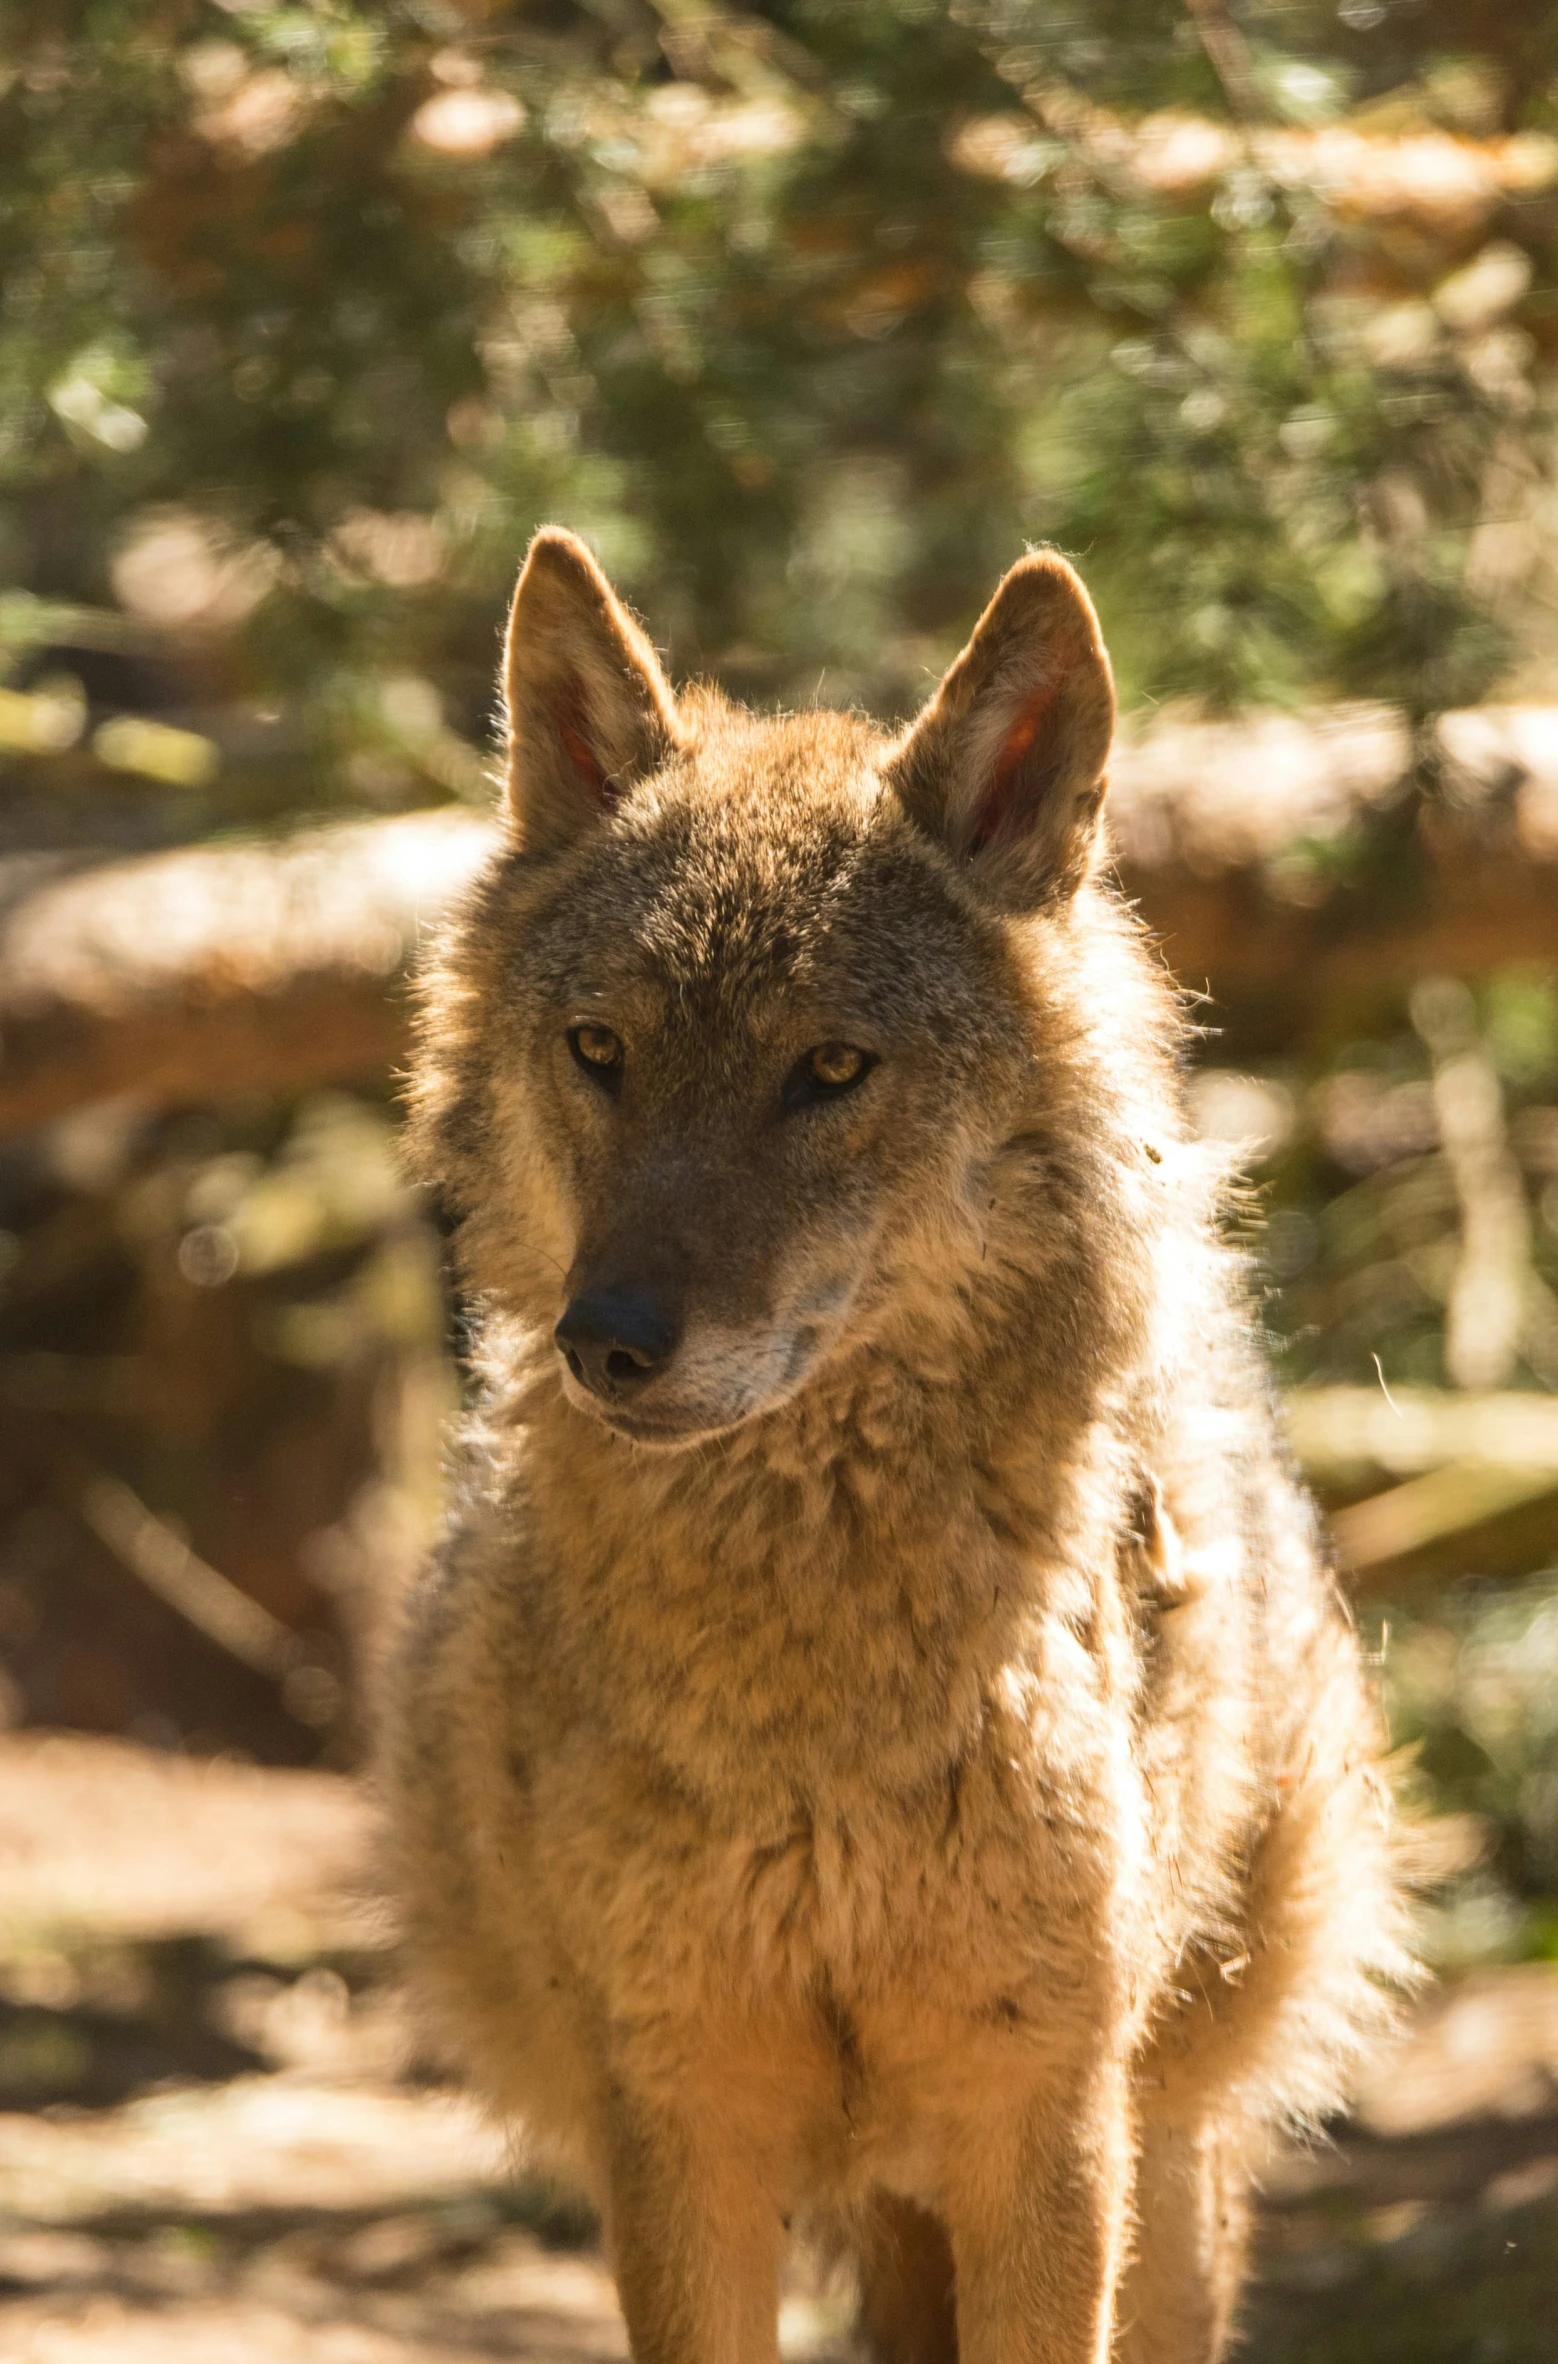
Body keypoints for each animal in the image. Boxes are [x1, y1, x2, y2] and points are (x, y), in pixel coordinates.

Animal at [390, 536, 1418, 2364]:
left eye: (828, 1069)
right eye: (601, 1049)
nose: (609, 1340)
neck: (813, 1711)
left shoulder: (1041, 2126)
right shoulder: (679, 2123)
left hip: (1165, 2165)